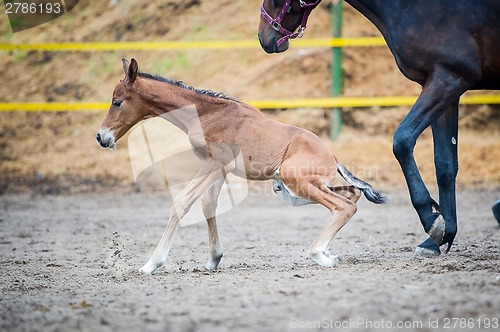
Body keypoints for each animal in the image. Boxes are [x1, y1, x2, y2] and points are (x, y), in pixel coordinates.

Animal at [97, 58, 386, 274]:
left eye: (117, 101)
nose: (102, 137)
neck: (207, 113)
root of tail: (332, 156)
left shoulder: (214, 163)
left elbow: (182, 202)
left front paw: (151, 263)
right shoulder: (218, 168)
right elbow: (208, 205)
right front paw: (214, 258)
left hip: (295, 180)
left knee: (344, 205)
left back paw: (320, 254)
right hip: (302, 187)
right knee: (351, 194)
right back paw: (326, 250)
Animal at [258, 0, 500, 255]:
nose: (263, 37)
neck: (416, 10)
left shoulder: (448, 79)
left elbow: (402, 140)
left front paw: (430, 218)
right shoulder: (448, 87)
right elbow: (445, 164)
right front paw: (441, 235)